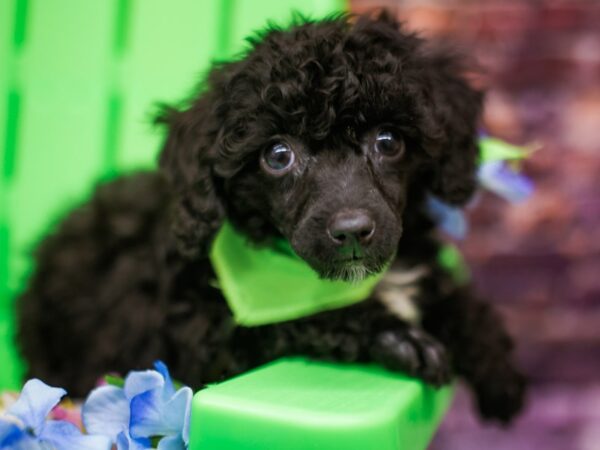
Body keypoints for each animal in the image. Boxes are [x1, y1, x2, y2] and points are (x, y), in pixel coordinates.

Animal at [15, 12, 524, 424]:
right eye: (278, 156)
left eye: (389, 141)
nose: (353, 231)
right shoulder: (212, 337)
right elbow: (308, 319)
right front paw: (403, 340)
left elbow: (447, 292)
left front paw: (496, 365)